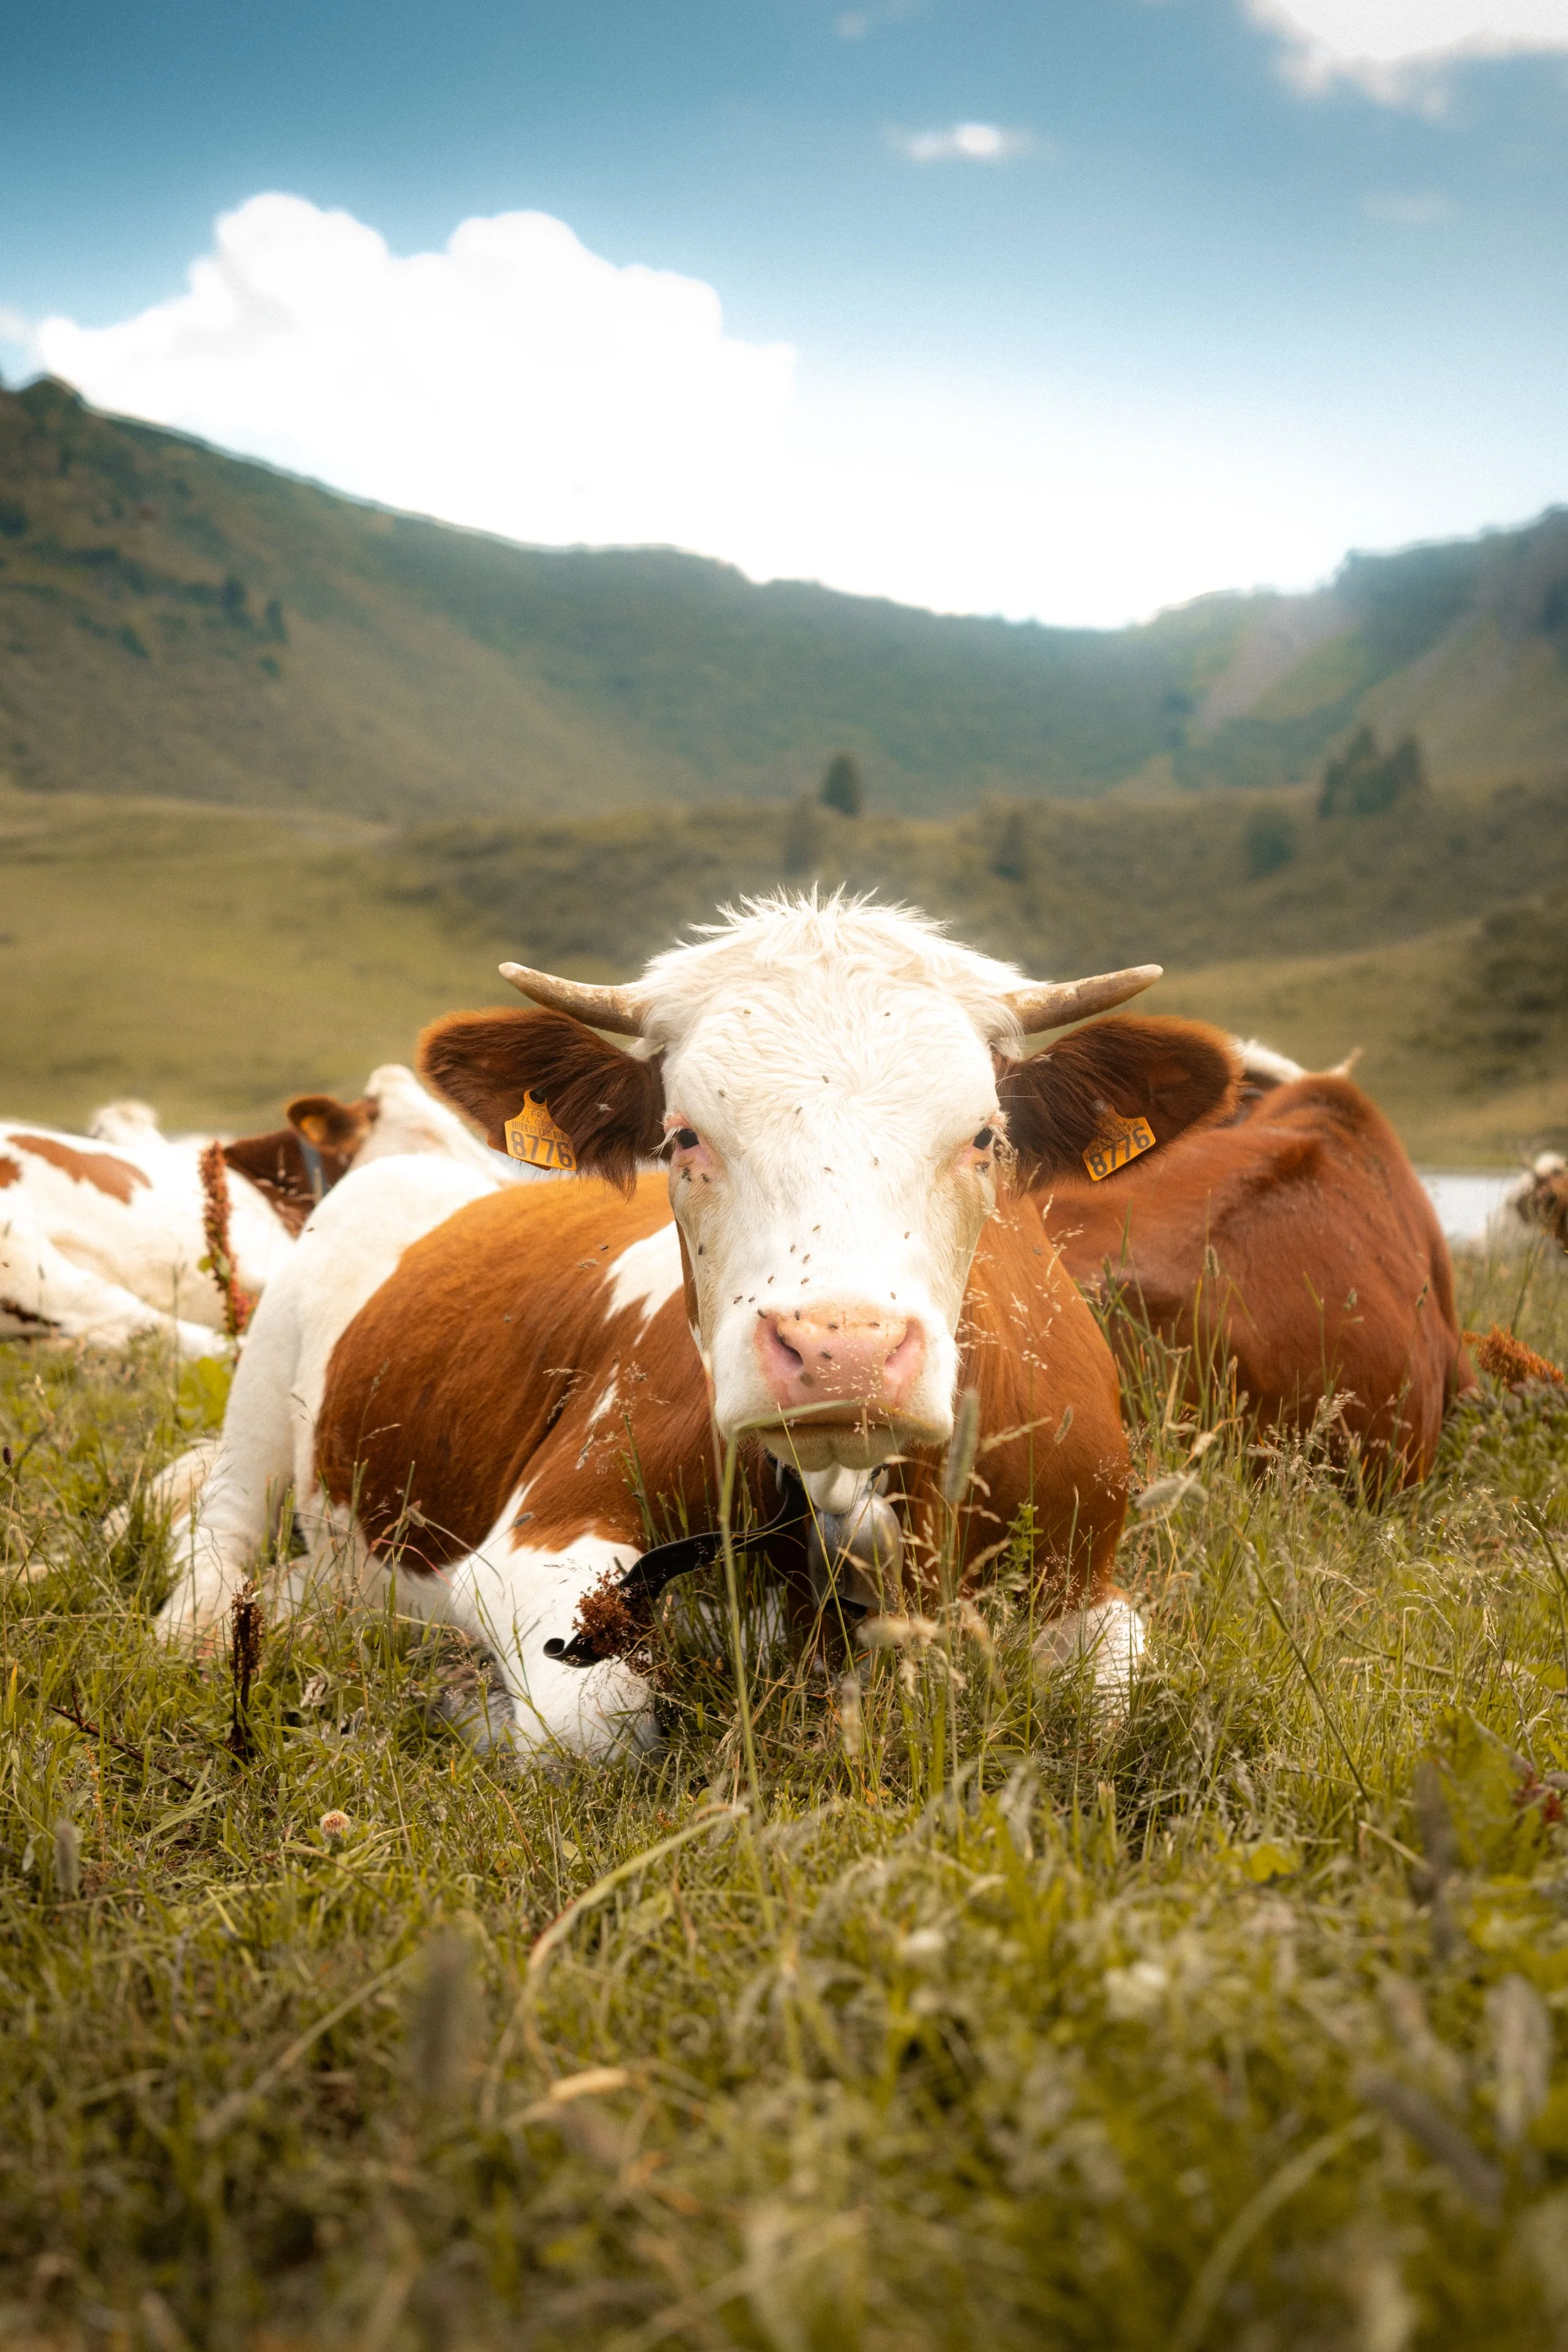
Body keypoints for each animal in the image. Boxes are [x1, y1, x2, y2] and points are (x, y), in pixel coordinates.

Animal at [153, 895, 1241, 1760]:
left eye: (986, 1136)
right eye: (682, 1137)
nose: (840, 1347)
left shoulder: (1088, 1578)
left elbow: (1116, 1703)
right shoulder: (541, 1535)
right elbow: (592, 1721)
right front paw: (465, 1697)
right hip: (264, 1387)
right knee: (218, 1535)